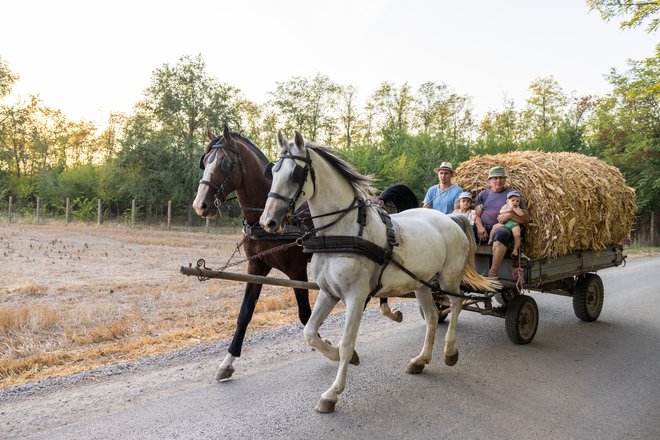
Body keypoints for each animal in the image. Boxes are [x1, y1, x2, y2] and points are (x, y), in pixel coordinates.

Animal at [192, 124, 418, 382]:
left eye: (225, 163)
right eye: (205, 161)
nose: (200, 205)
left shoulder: (296, 269)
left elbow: (304, 314)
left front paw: (329, 345)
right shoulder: (256, 266)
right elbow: (245, 314)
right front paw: (227, 362)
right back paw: (388, 310)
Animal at [260, 131, 498, 412]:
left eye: (295, 174)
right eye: (273, 171)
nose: (268, 221)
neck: (342, 232)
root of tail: (449, 218)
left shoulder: (356, 297)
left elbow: (347, 342)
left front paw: (332, 393)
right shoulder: (329, 293)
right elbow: (309, 333)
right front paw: (342, 355)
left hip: (449, 278)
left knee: (457, 303)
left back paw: (450, 352)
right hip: (422, 283)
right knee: (431, 317)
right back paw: (420, 360)